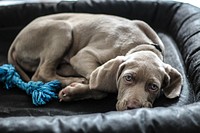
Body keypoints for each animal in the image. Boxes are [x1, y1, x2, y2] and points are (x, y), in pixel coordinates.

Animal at [8, 13, 183, 110]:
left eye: (153, 87)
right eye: (128, 78)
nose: (133, 108)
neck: (141, 45)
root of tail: (15, 41)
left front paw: (75, 91)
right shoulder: (83, 56)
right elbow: (100, 86)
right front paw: (74, 91)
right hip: (62, 28)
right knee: (41, 73)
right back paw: (75, 80)